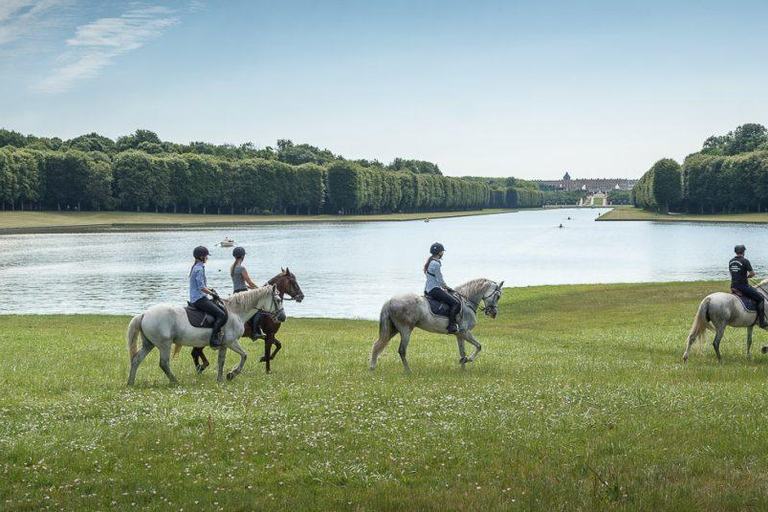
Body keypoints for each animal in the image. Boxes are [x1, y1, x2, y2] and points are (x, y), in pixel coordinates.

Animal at [127, 284, 286, 384]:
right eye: (278, 300)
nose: (283, 317)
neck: (235, 312)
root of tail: (144, 314)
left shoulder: (224, 345)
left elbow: (221, 361)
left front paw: (221, 379)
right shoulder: (231, 342)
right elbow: (244, 355)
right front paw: (232, 374)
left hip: (149, 344)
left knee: (136, 360)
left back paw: (131, 382)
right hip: (164, 344)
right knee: (164, 363)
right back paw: (175, 381)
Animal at [368, 280, 500, 372]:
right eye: (498, 296)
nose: (493, 313)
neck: (467, 303)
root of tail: (390, 301)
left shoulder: (460, 334)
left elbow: (462, 351)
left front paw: (463, 368)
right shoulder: (465, 332)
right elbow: (479, 346)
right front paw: (468, 360)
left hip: (393, 329)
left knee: (377, 345)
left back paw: (372, 368)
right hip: (405, 330)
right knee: (402, 350)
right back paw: (408, 371)